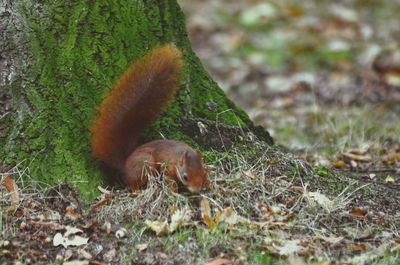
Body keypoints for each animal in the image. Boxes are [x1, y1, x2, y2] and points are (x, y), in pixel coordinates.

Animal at [91, 43, 209, 192]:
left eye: (202, 172)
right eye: (185, 177)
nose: (196, 191)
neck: (181, 154)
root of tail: (125, 165)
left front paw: (209, 183)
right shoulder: (168, 167)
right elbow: (169, 179)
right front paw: (174, 191)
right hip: (145, 164)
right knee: (133, 184)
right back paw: (137, 190)